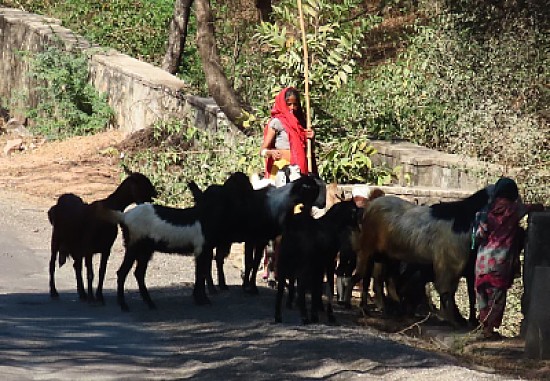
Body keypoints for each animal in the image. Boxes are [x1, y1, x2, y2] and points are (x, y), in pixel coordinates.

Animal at [47, 169, 157, 302]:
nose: (155, 194)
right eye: (143, 182)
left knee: (76, 265)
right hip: (57, 238)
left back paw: (82, 294)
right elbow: (90, 273)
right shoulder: (88, 247)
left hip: (76, 246)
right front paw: (92, 299)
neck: (110, 209)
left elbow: (101, 272)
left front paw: (99, 297)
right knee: (52, 264)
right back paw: (54, 292)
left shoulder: (106, 248)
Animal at [352, 189, 490, 326]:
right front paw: (457, 319)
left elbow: (470, 295)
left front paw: (471, 321)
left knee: (380, 280)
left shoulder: (466, 270)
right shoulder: (448, 265)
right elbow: (447, 292)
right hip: (370, 252)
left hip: (385, 258)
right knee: (369, 278)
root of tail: (370, 207)